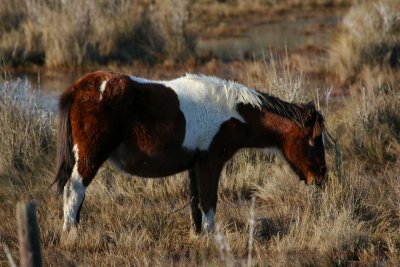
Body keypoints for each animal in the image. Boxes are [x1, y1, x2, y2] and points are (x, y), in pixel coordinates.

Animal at [54, 71, 326, 234]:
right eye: (313, 141)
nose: (321, 176)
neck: (232, 112)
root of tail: (78, 88)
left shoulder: (195, 166)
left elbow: (196, 204)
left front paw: (199, 235)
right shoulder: (210, 163)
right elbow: (208, 202)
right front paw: (211, 237)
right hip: (90, 156)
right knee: (74, 191)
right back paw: (71, 232)